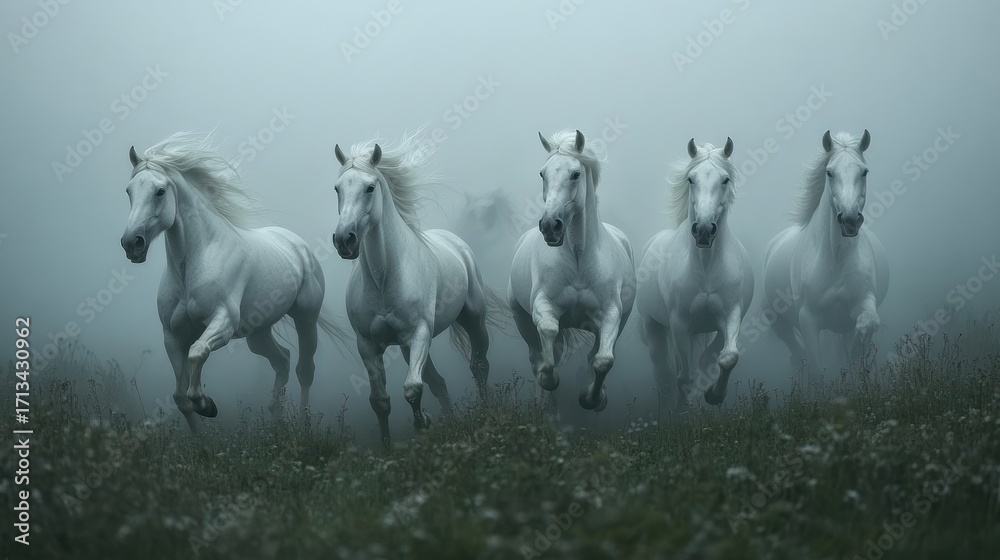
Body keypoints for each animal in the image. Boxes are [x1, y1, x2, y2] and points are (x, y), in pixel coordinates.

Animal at [120, 132, 349, 433]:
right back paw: (275, 423)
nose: (131, 244)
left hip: (305, 319)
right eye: (129, 191)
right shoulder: (172, 336)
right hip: (258, 333)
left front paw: (207, 405)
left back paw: (302, 424)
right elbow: (180, 397)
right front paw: (201, 437)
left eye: (160, 191)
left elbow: (197, 354)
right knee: (282, 361)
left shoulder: (223, 323)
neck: (193, 265)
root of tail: (298, 245)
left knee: (304, 370)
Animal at [331, 133, 498, 445]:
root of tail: (457, 244)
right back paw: (453, 422)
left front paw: (423, 424)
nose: (344, 240)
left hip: (472, 320)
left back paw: (487, 412)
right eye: (337, 188)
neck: (384, 278)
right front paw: (388, 445)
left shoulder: (419, 333)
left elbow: (412, 388)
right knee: (439, 383)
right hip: (410, 348)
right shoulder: (367, 344)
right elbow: (380, 401)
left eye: (370, 187)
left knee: (479, 367)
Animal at [508, 129, 636, 412]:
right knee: (537, 353)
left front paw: (592, 399)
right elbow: (548, 333)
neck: (578, 259)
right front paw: (548, 379)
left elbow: (602, 360)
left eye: (575, 174)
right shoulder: (542, 305)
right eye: (542, 173)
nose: (550, 226)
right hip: (521, 317)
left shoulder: (611, 315)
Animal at [636, 137, 754, 412]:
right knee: (664, 370)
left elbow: (726, 357)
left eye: (725, 179)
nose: (703, 230)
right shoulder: (679, 323)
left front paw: (714, 395)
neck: (706, 267)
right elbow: (684, 377)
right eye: (691, 179)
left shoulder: (731, 316)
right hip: (654, 325)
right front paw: (682, 410)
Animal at [763, 130, 889, 379]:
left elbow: (869, 322)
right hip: (778, 322)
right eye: (829, 172)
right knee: (793, 344)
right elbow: (815, 367)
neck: (835, 260)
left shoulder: (865, 300)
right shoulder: (808, 321)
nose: (850, 219)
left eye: (864, 171)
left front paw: (855, 353)